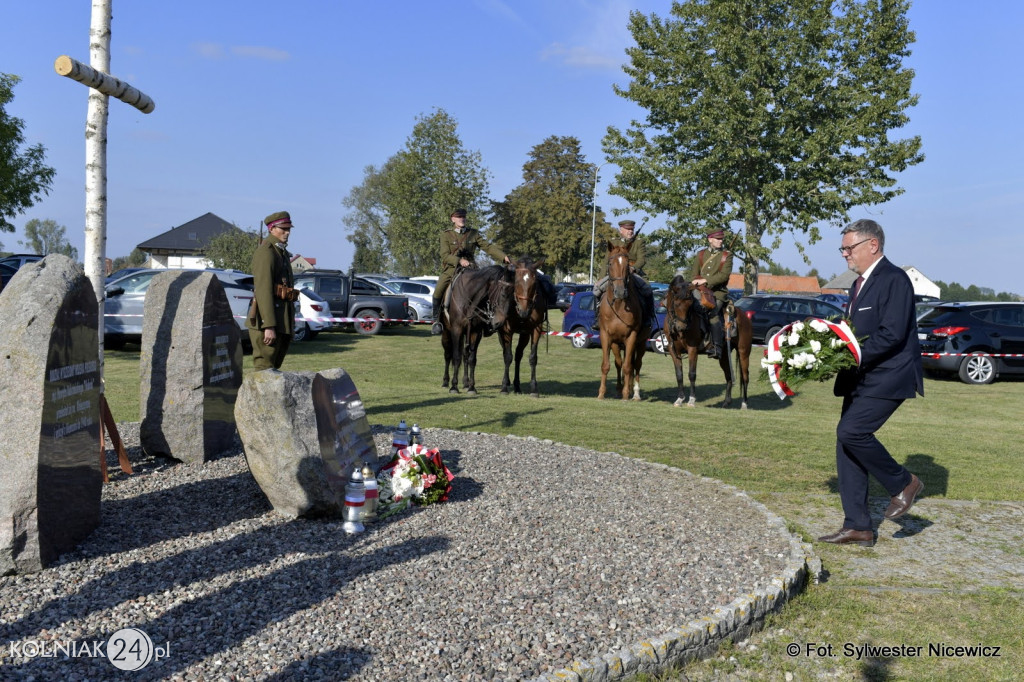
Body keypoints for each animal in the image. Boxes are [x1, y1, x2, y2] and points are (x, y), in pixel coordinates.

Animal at [442, 264, 516, 393]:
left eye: (513, 297)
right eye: (502, 294)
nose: (499, 322)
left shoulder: (475, 332)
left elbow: (472, 359)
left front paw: (472, 387)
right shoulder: (456, 330)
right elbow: (456, 357)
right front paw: (454, 386)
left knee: (465, 355)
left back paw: (466, 382)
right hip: (447, 332)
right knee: (448, 354)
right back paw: (446, 381)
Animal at [499, 256, 548, 395]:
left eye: (534, 283)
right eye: (516, 282)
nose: (524, 311)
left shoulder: (535, 329)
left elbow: (533, 357)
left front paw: (534, 388)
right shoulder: (506, 330)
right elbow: (507, 356)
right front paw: (504, 387)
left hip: (524, 335)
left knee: (518, 355)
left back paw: (517, 385)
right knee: (507, 353)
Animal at [598, 241, 643, 399]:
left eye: (627, 264)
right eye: (610, 263)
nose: (620, 291)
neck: (618, 305)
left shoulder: (632, 336)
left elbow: (629, 366)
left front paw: (625, 394)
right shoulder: (606, 336)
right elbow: (607, 365)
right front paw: (601, 393)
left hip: (641, 343)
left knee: (636, 364)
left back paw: (635, 393)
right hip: (617, 343)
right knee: (619, 362)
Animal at [663, 274, 753, 405]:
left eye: (690, 304)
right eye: (676, 303)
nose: (681, 327)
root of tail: (745, 317)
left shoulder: (692, 349)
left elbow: (692, 374)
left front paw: (691, 400)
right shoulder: (674, 351)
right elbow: (679, 375)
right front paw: (679, 399)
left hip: (743, 352)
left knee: (745, 376)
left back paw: (744, 403)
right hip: (724, 356)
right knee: (729, 376)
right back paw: (726, 401)